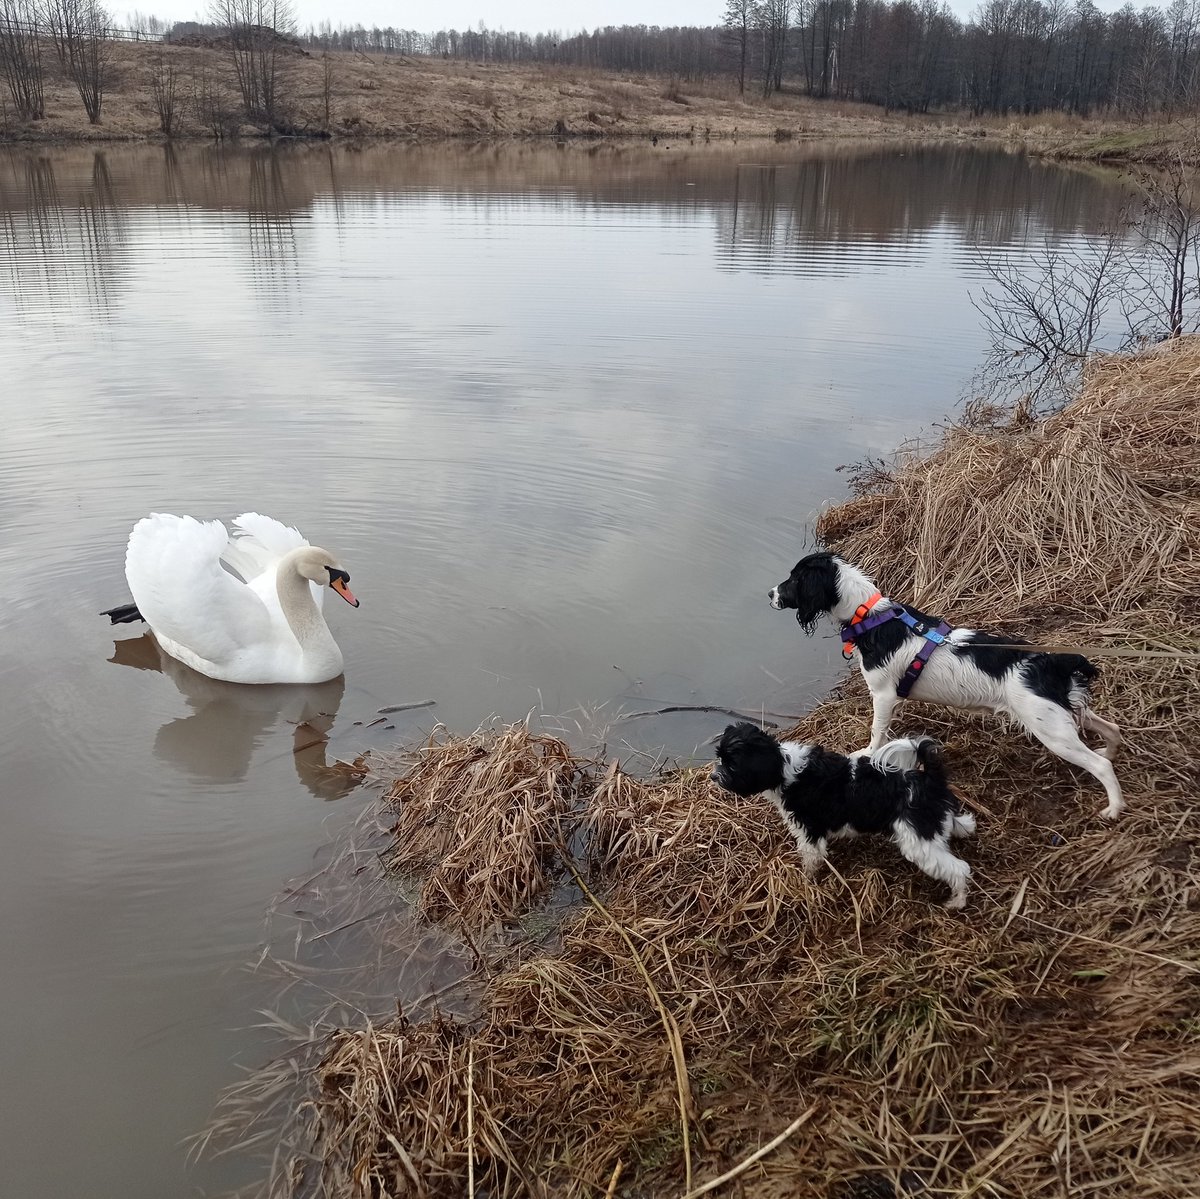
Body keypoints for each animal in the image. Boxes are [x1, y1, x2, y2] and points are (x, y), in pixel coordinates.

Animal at [710, 720, 974, 907]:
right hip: (931, 825)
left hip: (918, 842)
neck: (784, 769)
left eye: (732, 765)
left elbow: (811, 857)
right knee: (959, 824)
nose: (713, 777)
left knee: (959, 869)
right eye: (720, 758)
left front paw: (807, 881)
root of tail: (927, 777)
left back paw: (957, 901)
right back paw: (962, 828)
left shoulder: (809, 830)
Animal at [768, 549, 1123, 816]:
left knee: (1101, 766)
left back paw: (1114, 809)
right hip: (1062, 714)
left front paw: (867, 753)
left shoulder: (882, 695)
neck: (869, 617)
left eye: (794, 579)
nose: (770, 593)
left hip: (1051, 730)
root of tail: (1049, 661)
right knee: (1112, 730)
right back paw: (1109, 750)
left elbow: (876, 733)